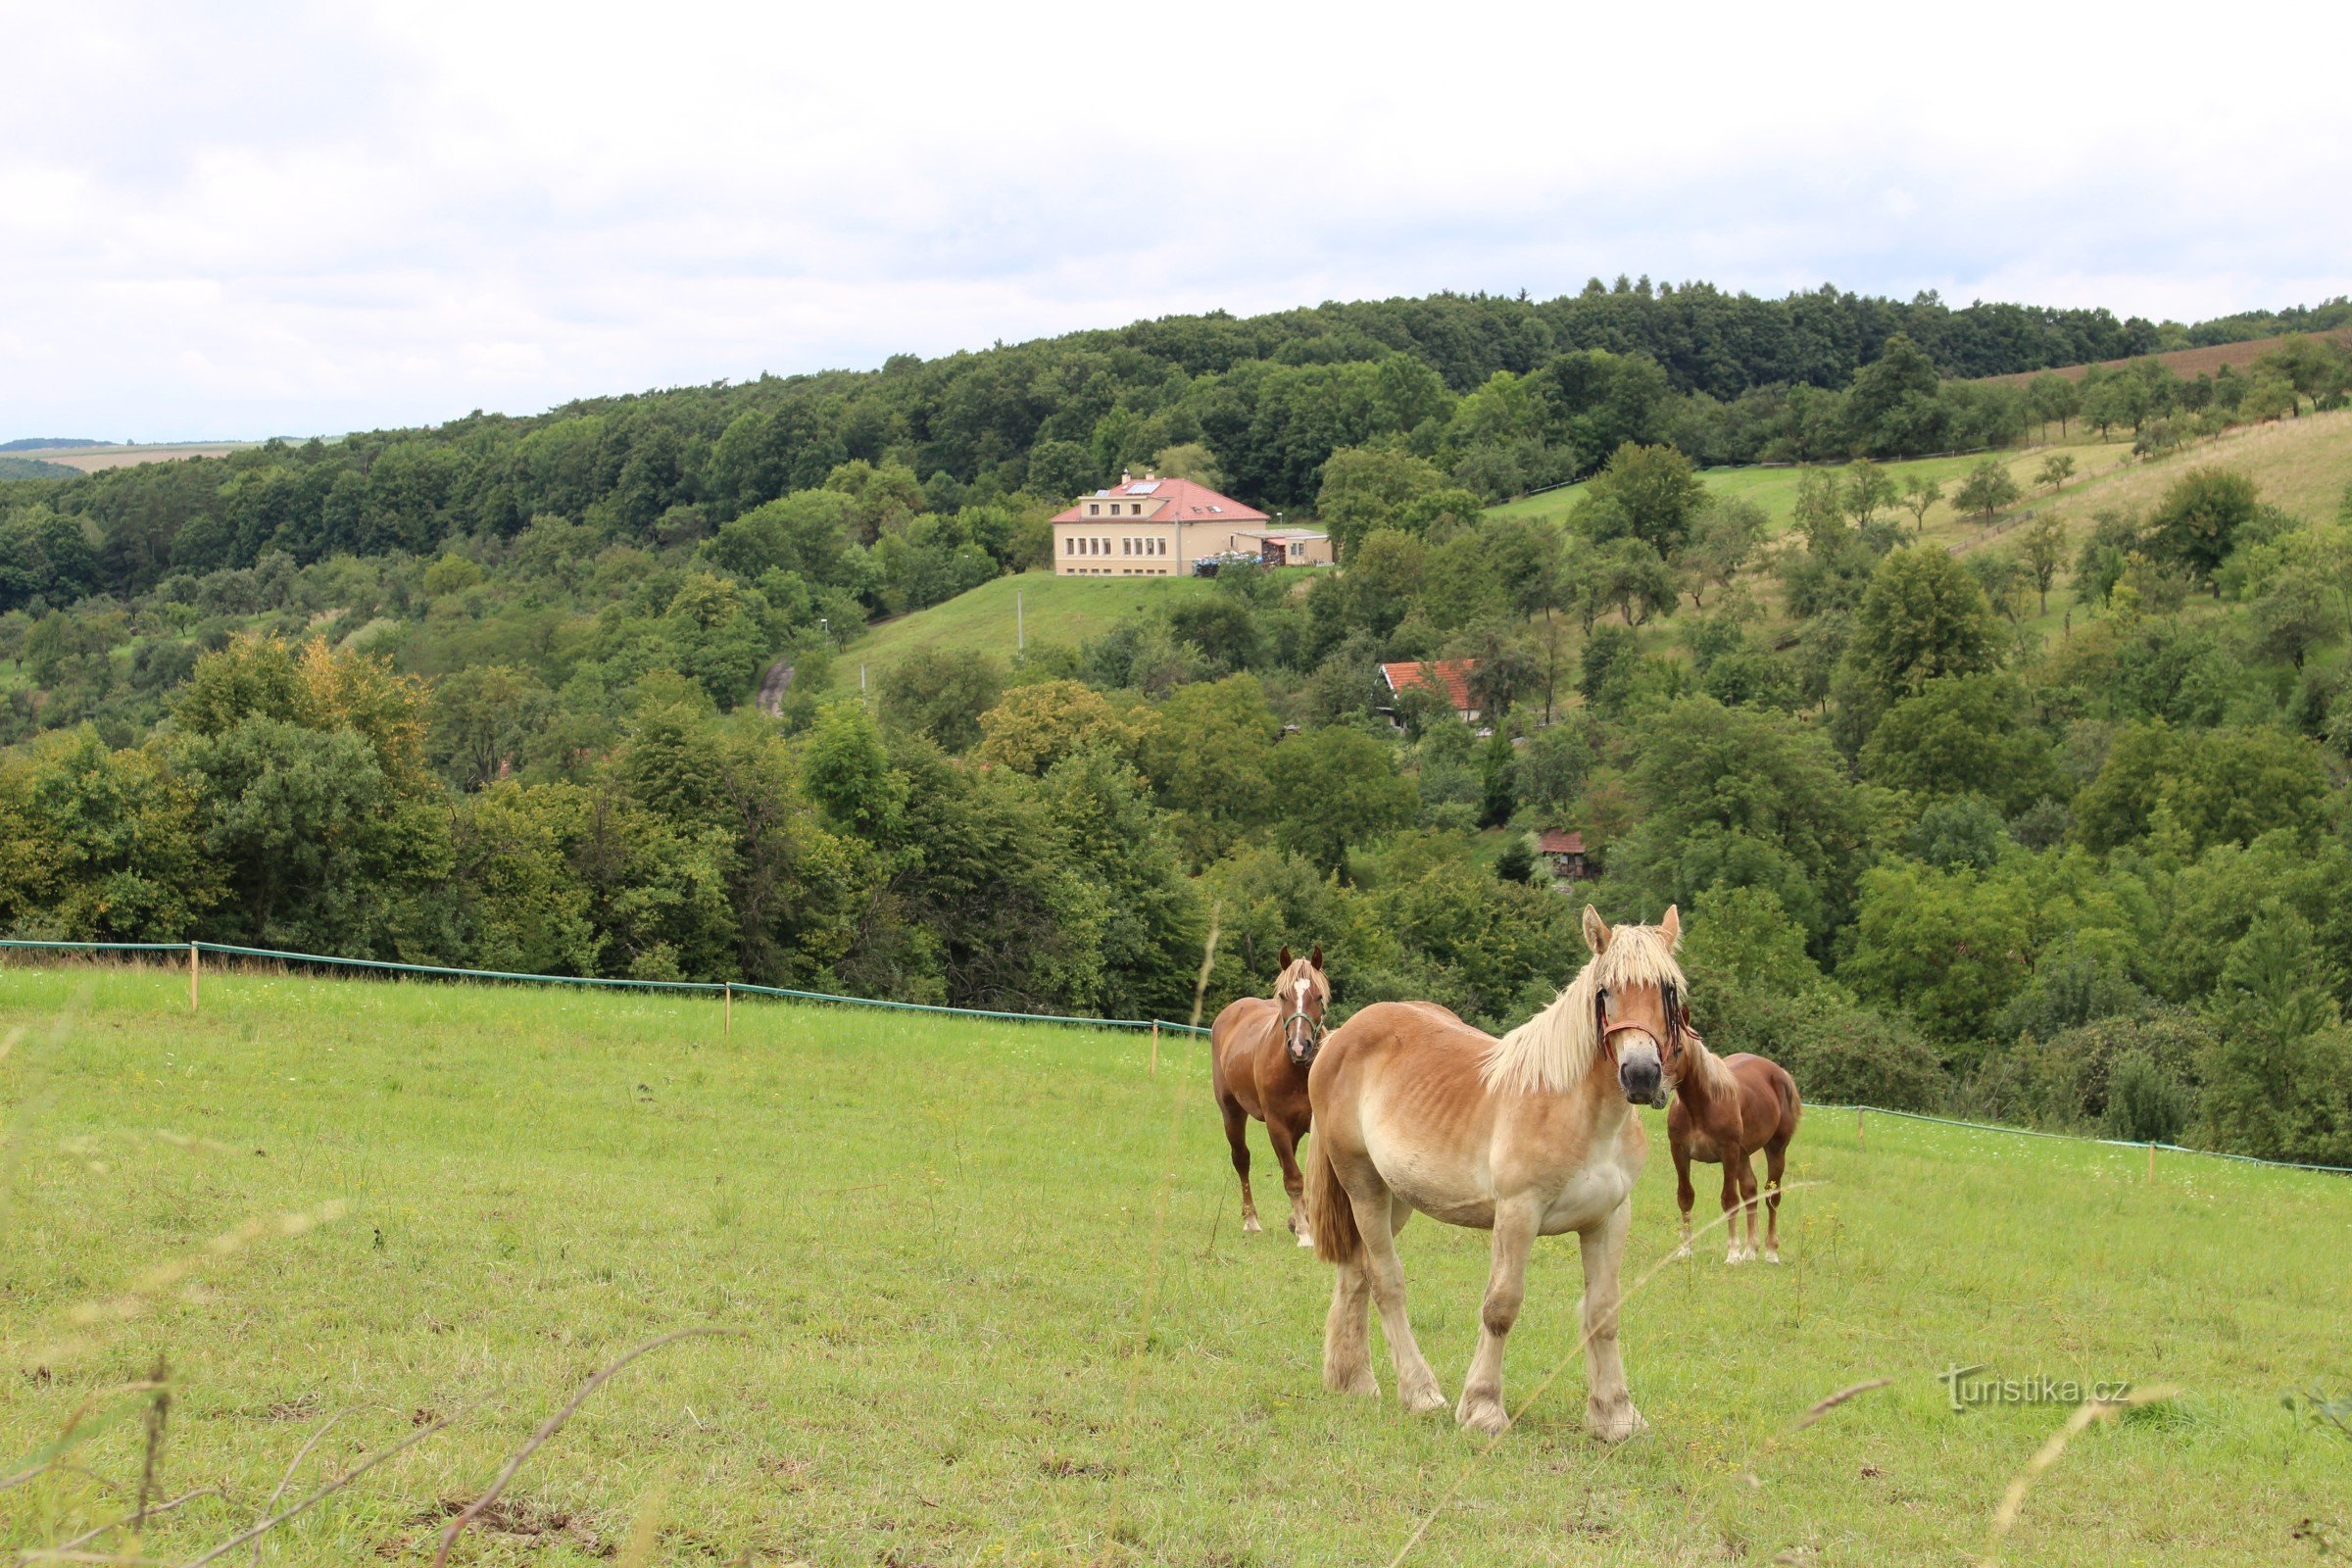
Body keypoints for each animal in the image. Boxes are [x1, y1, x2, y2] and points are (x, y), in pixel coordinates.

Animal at [1213, 950, 1326, 1241]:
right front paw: (1304, 1232)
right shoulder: (1276, 1125)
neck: (1297, 1071)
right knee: (1242, 1159)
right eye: (1284, 996)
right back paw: (1251, 1219)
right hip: (1232, 1112)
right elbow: (1293, 1178)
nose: (1300, 1046)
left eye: (1319, 997)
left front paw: (1301, 1220)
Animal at [1307, 903, 1731, 1439]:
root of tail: (1339, 1039)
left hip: (1395, 1198)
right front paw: (1483, 1408)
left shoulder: (1609, 1219)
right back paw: (1420, 1391)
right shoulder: (1517, 1214)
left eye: (1668, 990)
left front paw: (1615, 1414)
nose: (1640, 1074)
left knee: (1355, 1272)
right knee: (1385, 1281)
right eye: (1604, 991)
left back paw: (1353, 1381)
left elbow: (1603, 1312)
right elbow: (1501, 1307)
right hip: (1362, 1186)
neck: (1579, 1112)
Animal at [1674, 1048, 1796, 1269]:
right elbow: (1685, 1197)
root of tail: (1781, 1073)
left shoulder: (1729, 1152)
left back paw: (1771, 1253)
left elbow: (1729, 1200)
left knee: (1772, 1197)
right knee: (1750, 1191)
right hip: (1743, 1156)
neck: (1700, 1105)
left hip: (1775, 1149)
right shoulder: (1679, 1151)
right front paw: (1685, 1250)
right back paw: (1750, 1251)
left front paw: (1732, 1253)